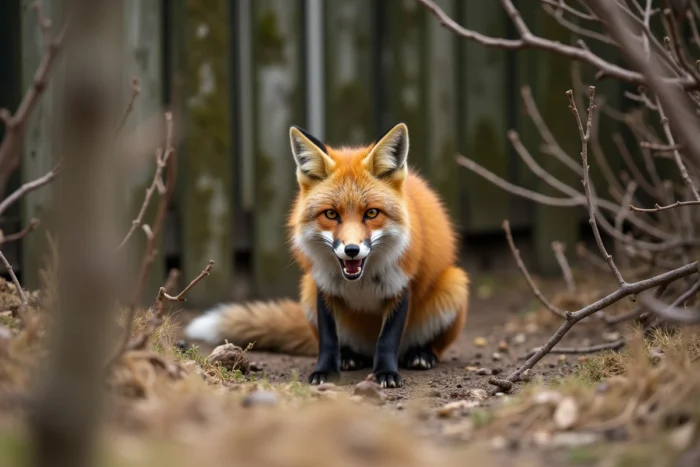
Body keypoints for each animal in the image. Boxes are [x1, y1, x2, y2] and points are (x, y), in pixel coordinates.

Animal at [184, 122, 470, 388]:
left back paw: (421, 354)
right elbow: (329, 339)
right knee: (348, 346)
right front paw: (326, 371)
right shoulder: (324, 285)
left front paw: (385, 373)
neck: (362, 281)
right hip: (307, 290)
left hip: (454, 284)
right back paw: (350, 356)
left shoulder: (401, 285)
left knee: (427, 347)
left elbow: (388, 339)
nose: (352, 249)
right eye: (331, 214)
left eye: (372, 213)